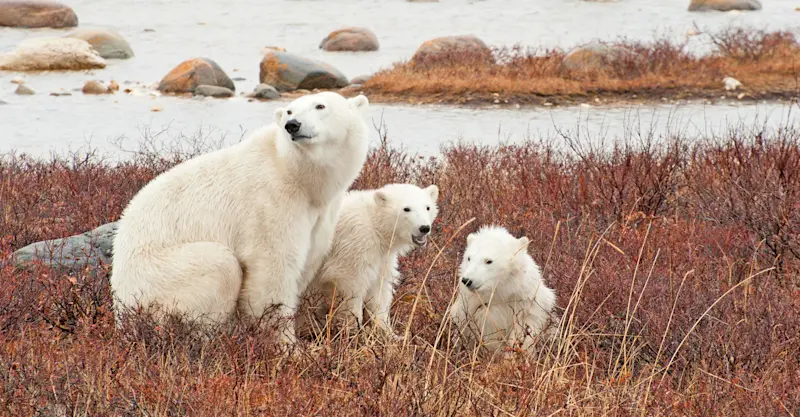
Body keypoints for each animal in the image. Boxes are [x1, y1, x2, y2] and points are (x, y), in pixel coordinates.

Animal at [109, 91, 371, 345]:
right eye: (289, 110)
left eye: (320, 106)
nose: (292, 125)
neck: (299, 176)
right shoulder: (269, 202)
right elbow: (272, 269)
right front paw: (286, 345)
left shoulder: (321, 215)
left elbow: (307, 260)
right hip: (159, 278)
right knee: (219, 265)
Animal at [298, 183, 440, 340]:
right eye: (406, 208)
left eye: (427, 207)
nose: (424, 228)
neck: (375, 223)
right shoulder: (356, 244)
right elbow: (350, 287)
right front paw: (354, 332)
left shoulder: (382, 257)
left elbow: (379, 291)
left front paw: (392, 334)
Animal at [450, 225, 559, 355]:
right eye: (469, 258)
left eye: (488, 261)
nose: (467, 280)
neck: (501, 293)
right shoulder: (476, 309)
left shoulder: (527, 304)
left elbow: (523, 332)